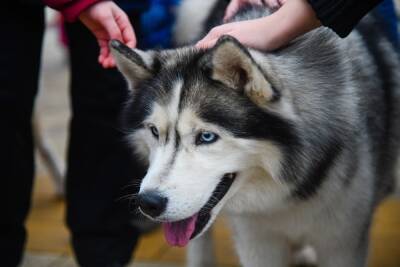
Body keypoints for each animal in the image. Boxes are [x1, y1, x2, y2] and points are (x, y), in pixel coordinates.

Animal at [109, 1, 400, 266]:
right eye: (154, 131)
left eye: (206, 137)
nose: (148, 203)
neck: (285, 194)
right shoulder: (257, 241)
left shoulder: (343, 242)